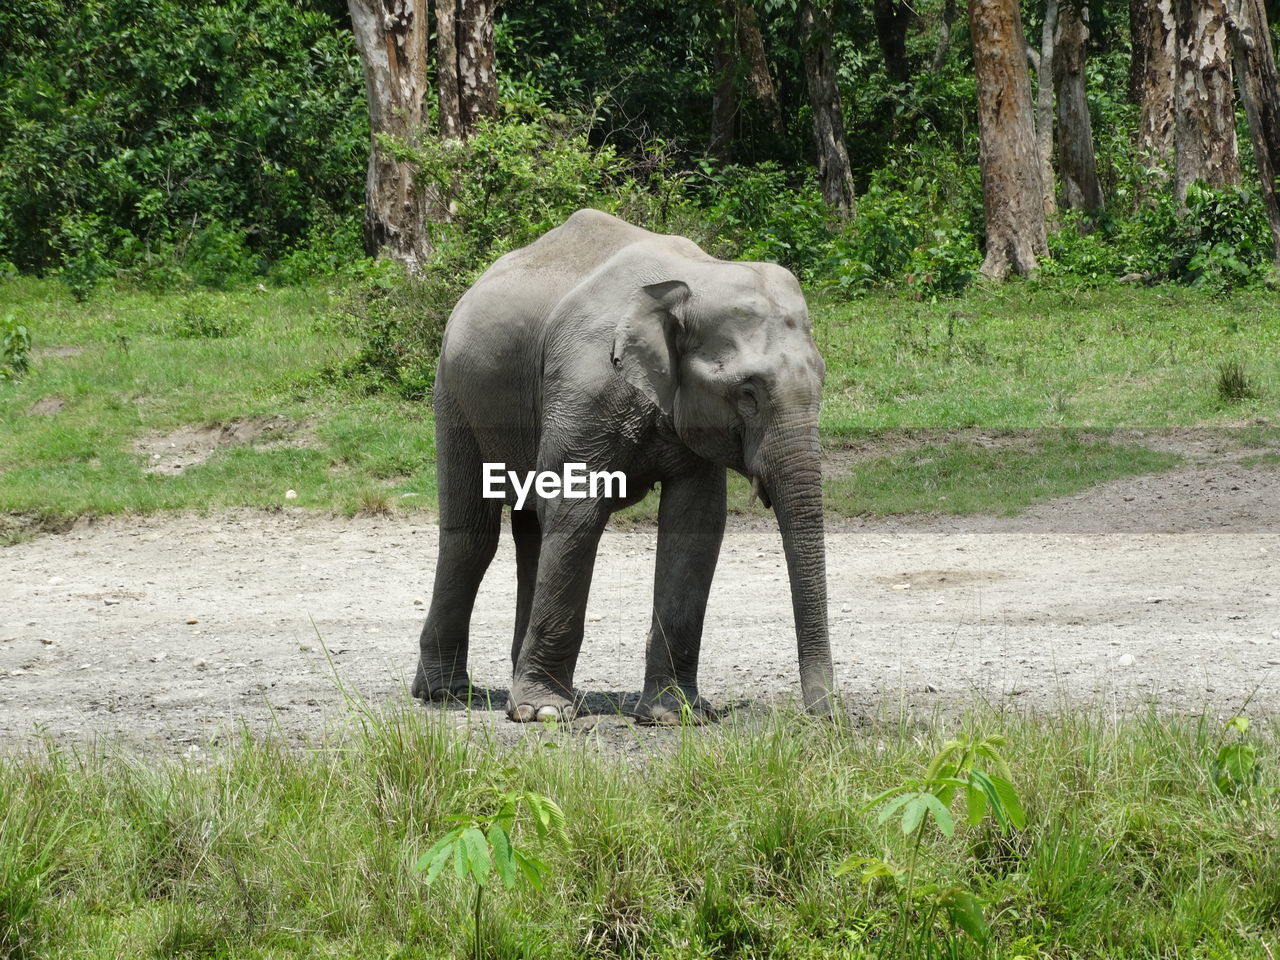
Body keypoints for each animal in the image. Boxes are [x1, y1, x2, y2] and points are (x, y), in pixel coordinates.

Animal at [404, 208, 834, 721]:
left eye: (822, 378)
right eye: (747, 394)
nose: (825, 714)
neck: (693, 277)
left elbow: (696, 520)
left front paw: (674, 714)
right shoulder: (585, 384)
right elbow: (576, 511)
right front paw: (545, 715)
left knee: (532, 528)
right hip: (454, 394)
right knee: (472, 536)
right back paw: (446, 694)